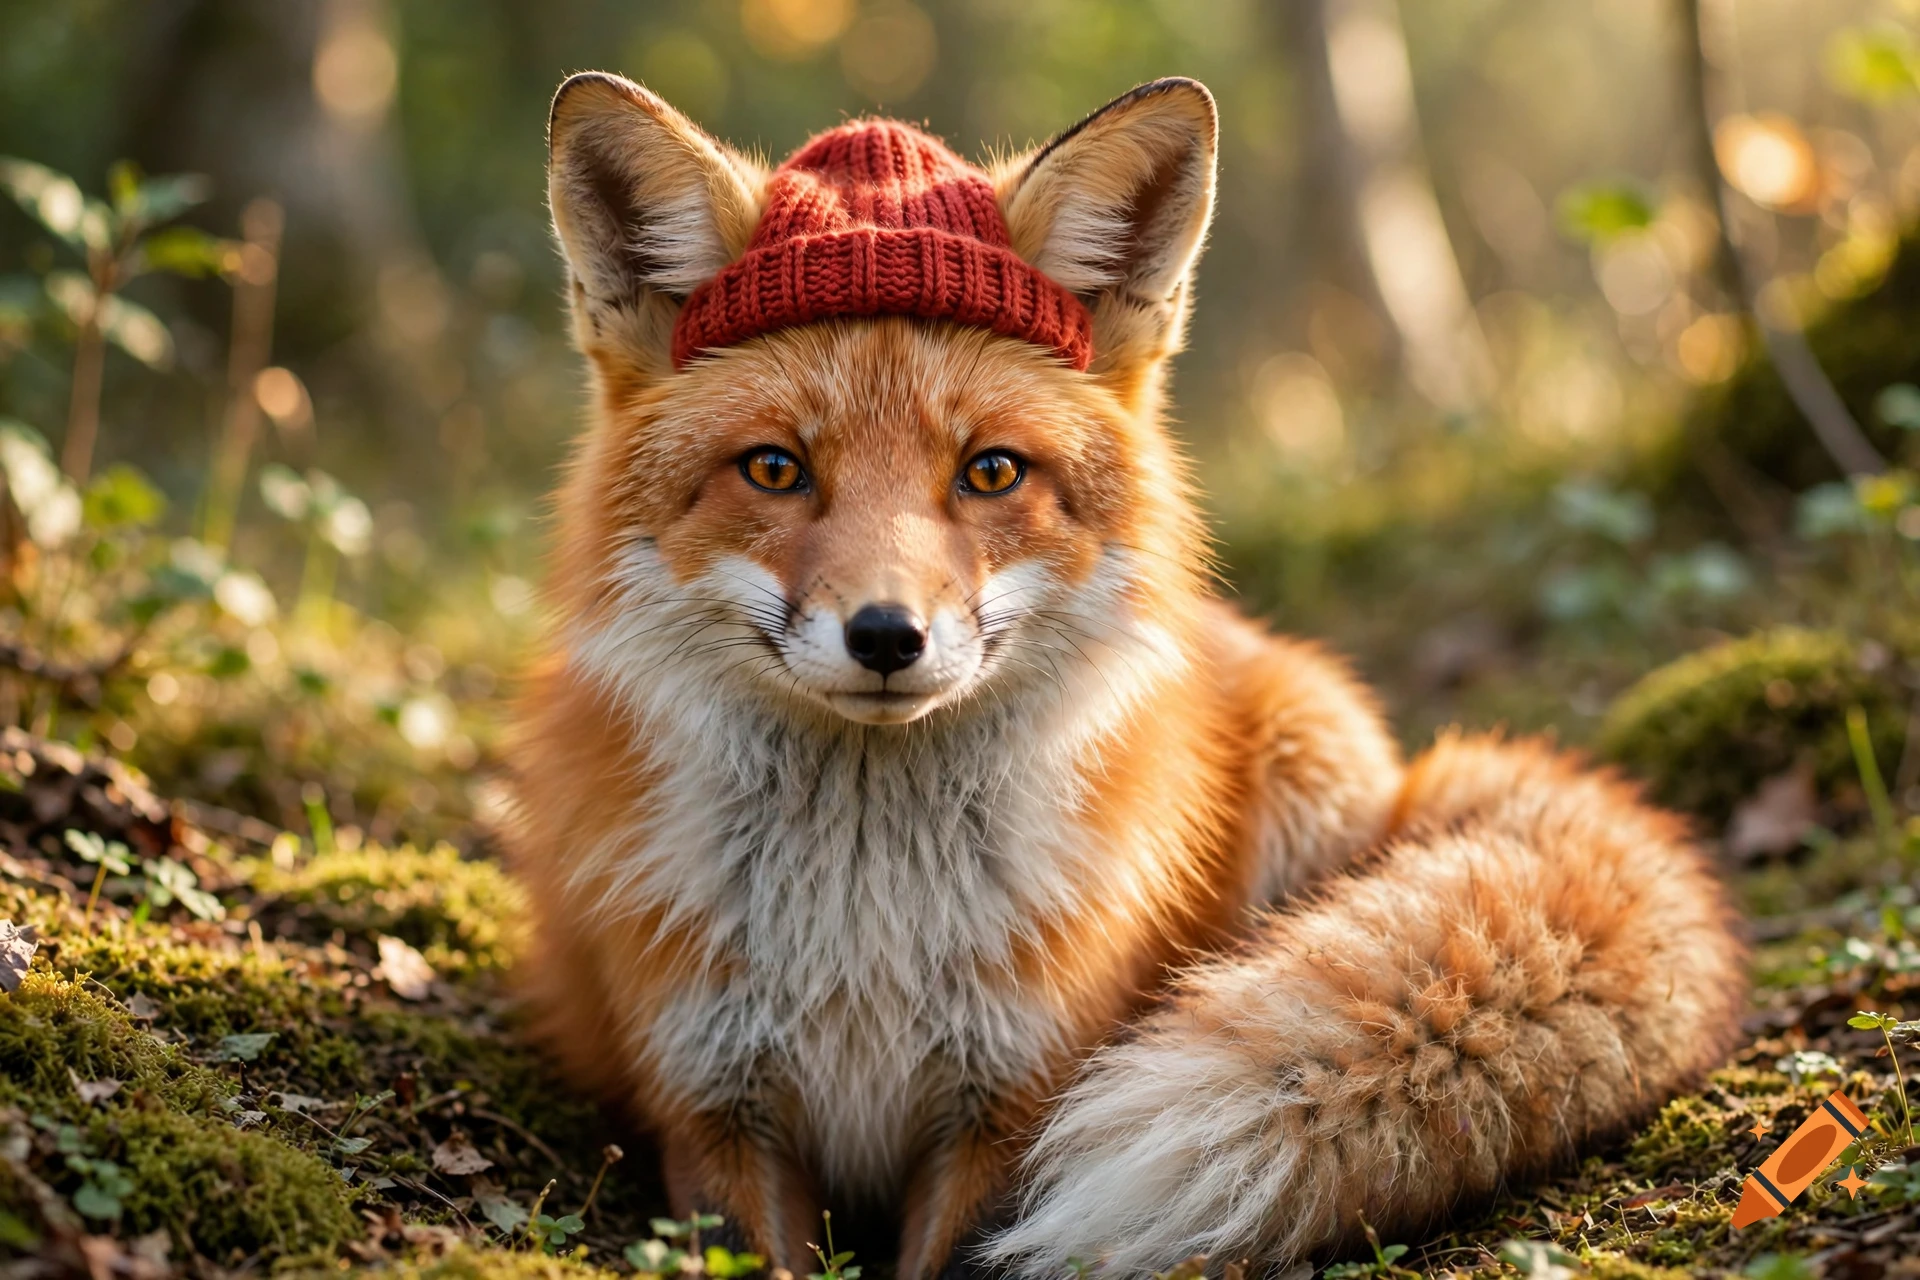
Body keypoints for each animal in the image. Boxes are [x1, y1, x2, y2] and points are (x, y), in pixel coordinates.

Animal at [505, 71, 1746, 1279]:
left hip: (1307, 763)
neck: (869, 929)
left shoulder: (1010, 1109)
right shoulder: (711, 1112)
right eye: (774, 468)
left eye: (990, 471)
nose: (888, 635)